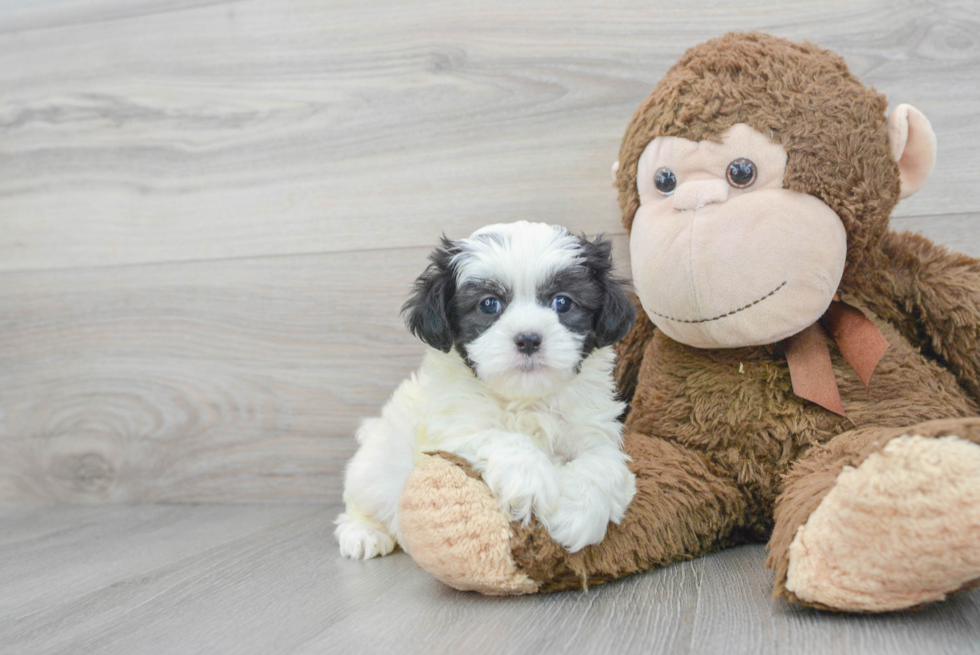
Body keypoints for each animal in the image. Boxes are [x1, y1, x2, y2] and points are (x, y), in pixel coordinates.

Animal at [336, 220, 640, 560]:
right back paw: (363, 533)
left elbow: (603, 463)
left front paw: (578, 515)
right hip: (373, 467)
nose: (528, 339)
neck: (526, 400)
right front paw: (529, 481)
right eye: (489, 304)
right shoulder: (451, 432)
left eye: (562, 302)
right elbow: (502, 439)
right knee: (361, 500)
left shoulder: (596, 431)